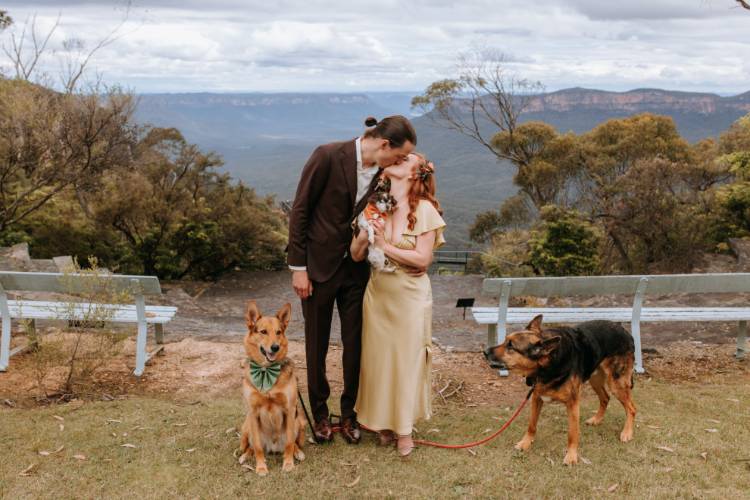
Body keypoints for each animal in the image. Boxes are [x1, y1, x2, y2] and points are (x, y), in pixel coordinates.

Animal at [239, 300, 306, 476]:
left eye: (278, 332)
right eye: (263, 332)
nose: (275, 347)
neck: (266, 371)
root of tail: (273, 447)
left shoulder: (289, 409)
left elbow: (289, 443)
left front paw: (288, 464)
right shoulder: (253, 412)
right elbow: (257, 446)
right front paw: (261, 467)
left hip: (299, 421)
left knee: (293, 442)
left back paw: (298, 452)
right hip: (247, 425)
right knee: (251, 446)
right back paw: (245, 456)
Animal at [484, 314, 636, 466]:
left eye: (511, 346)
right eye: (505, 341)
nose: (484, 352)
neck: (547, 365)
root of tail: (624, 330)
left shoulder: (572, 403)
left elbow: (572, 433)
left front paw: (571, 455)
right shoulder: (536, 398)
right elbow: (531, 425)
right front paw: (526, 443)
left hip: (616, 384)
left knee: (632, 408)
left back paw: (627, 432)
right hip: (595, 379)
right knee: (605, 397)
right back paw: (597, 419)